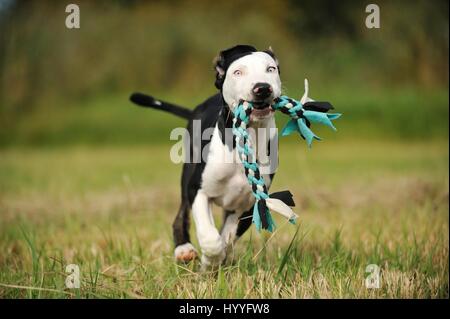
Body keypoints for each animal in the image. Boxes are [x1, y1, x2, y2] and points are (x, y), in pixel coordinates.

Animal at [130, 44, 316, 268]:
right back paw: (184, 250)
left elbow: (227, 235)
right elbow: (210, 236)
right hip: (187, 177)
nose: (262, 88)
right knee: (181, 216)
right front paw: (210, 260)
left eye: (270, 69)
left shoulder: (249, 204)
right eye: (238, 72)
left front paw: (216, 259)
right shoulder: (197, 190)